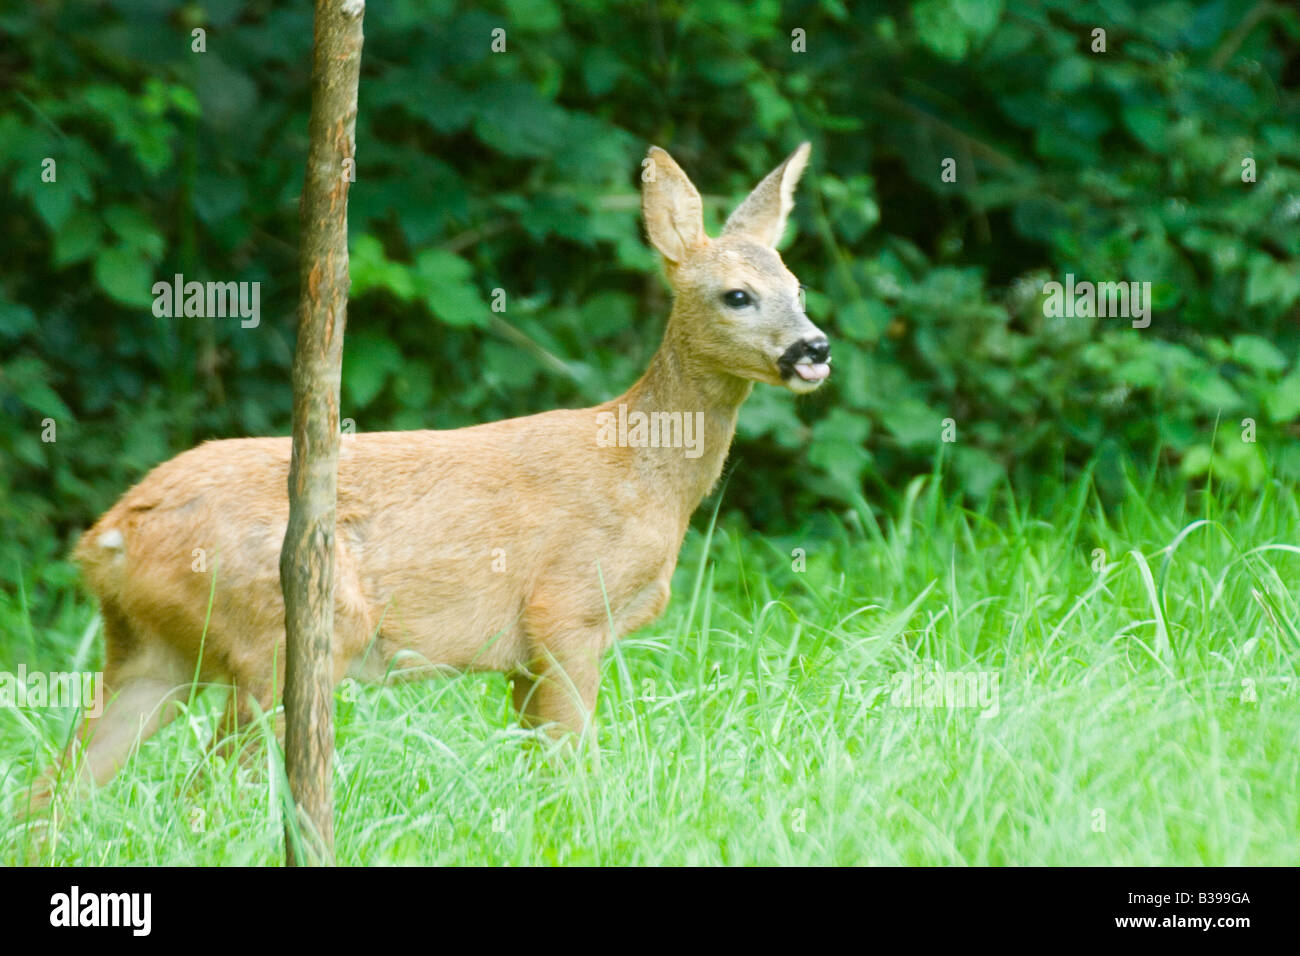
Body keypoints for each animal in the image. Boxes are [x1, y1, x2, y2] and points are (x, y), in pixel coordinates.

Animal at [34, 143, 831, 805]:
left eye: (797, 286)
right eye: (736, 295)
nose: (814, 348)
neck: (644, 471)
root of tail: (109, 538)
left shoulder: (523, 658)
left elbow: (541, 767)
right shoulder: (565, 611)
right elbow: (576, 761)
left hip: (152, 652)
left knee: (56, 790)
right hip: (288, 631)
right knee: (205, 788)